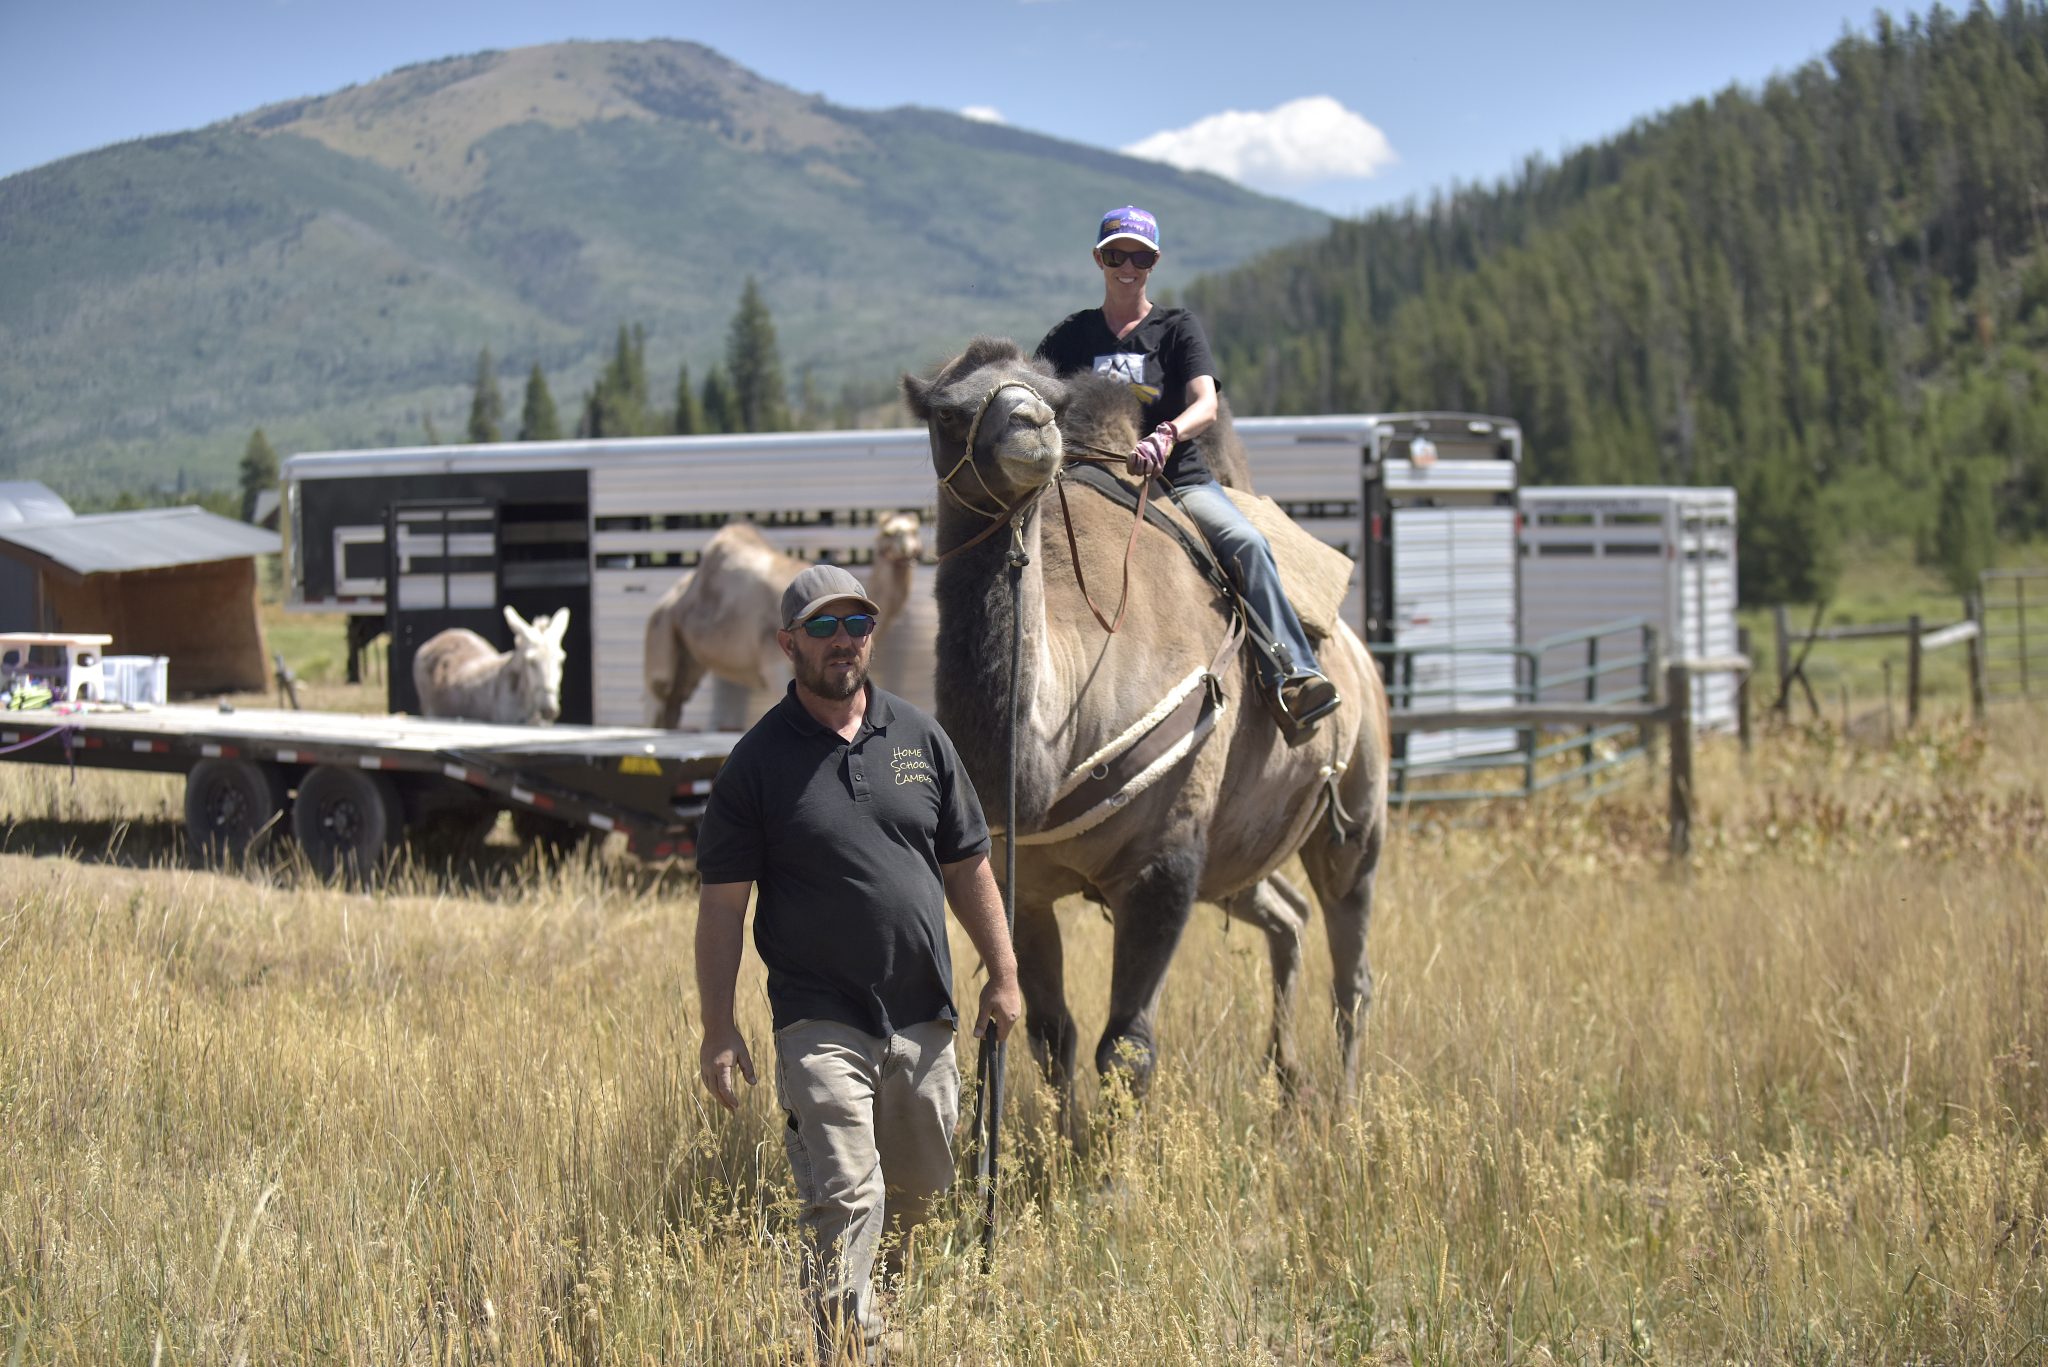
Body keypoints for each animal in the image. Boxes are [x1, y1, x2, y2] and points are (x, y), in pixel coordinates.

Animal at [642, 512, 923, 728]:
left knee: (674, 704)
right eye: (889, 533)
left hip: (689, 660)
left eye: (914, 530)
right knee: (659, 697)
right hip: (661, 632)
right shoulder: (774, 665)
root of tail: (665, 603)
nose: (910, 549)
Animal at [901, 338, 1390, 1103]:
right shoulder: (1023, 885)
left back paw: (1342, 1107)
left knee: (1352, 969)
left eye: (1054, 397)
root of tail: (1363, 658)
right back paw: (1283, 1081)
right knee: (1288, 917)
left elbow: (1125, 1049)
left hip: (1356, 818)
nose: (1033, 428)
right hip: (1239, 850)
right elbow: (1051, 1034)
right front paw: (1066, 1135)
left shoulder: (1163, 862)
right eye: (948, 410)